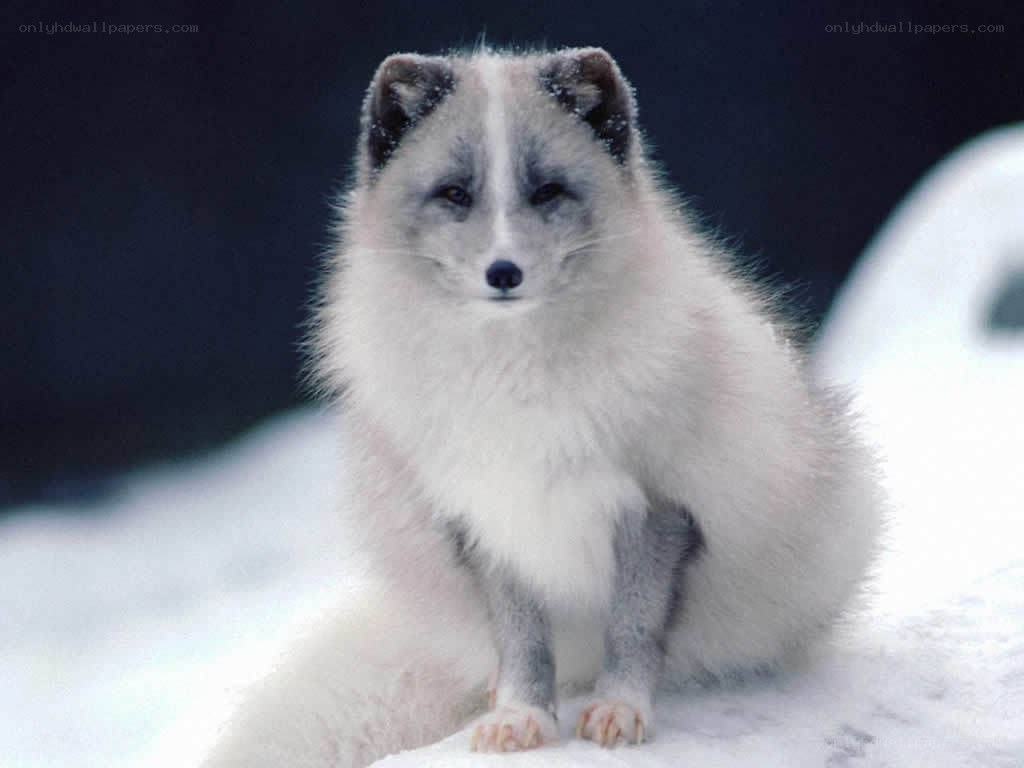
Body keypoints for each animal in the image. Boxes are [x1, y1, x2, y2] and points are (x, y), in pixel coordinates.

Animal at [202, 47, 882, 767]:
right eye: (455, 193)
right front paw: (519, 717)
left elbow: (634, 628)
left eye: (548, 191)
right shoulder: (490, 516)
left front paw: (620, 709)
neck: (516, 378)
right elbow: (521, 641)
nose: (504, 273)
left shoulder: (661, 506)